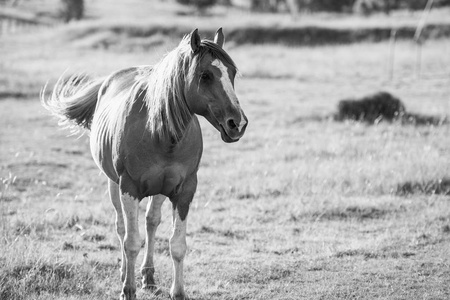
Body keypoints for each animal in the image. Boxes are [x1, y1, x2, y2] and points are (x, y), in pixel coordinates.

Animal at [41, 28, 250, 300]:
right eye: (205, 75)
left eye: (232, 73)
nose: (238, 123)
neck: (159, 132)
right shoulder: (128, 187)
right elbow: (131, 241)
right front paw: (127, 289)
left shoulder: (185, 190)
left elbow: (177, 244)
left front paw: (178, 291)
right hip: (113, 184)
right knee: (122, 227)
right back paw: (125, 273)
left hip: (160, 189)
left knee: (151, 222)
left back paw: (148, 276)